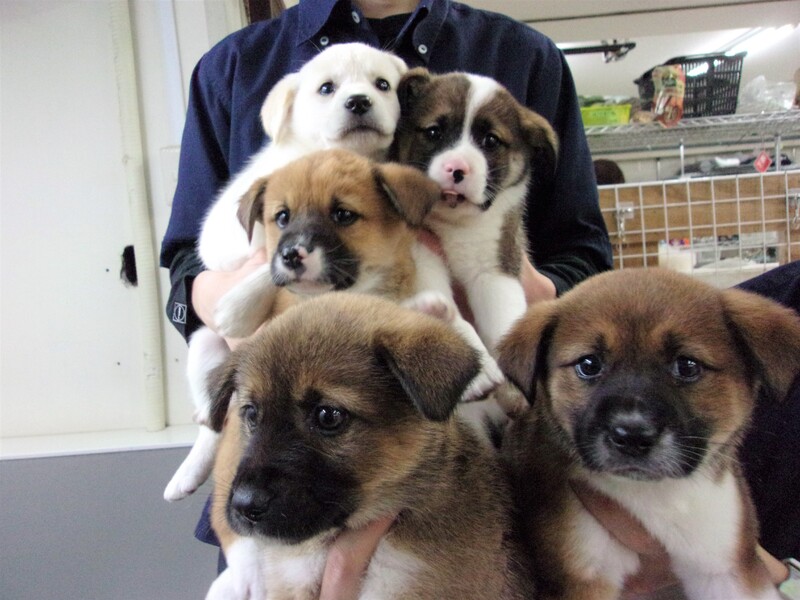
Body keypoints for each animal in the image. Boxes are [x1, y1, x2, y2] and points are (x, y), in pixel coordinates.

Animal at [164, 43, 409, 502]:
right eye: (326, 88)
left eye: (382, 84)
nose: (359, 101)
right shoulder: (243, 232)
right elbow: (273, 256)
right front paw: (238, 306)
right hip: (205, 348)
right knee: (212, 424)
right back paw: (185, 473)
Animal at [390, 68, 559, 353]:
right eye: (434, 132)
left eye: (490, 141)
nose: (457, 169)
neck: (454, 224)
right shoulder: (420, 257)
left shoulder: (495, 268)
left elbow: (504, 324)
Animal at [498, 268, 800, 600]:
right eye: (589, 364)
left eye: (687, 365)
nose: (632, 437)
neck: (653, 495)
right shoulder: (581, 578)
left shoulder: (728, 567)